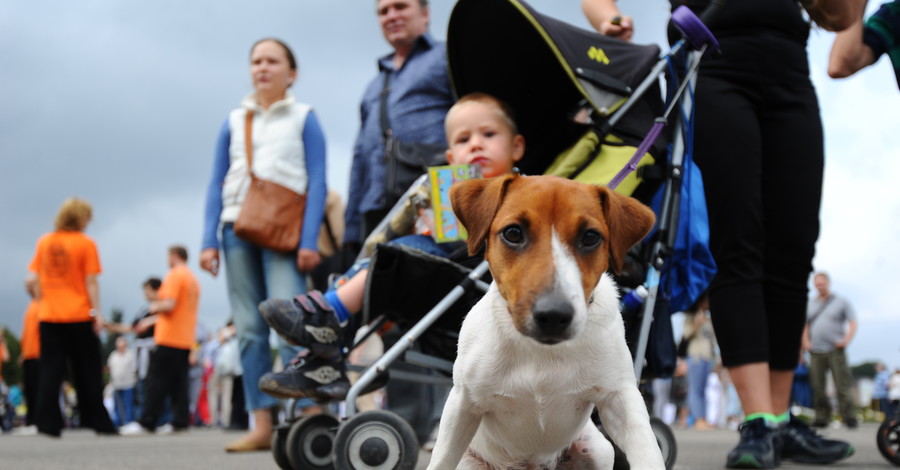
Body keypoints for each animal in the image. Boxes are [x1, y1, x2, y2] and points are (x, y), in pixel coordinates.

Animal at [428, 174, 668, 468]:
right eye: (513, 233)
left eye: (590, 237)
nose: (553, 315)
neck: (540, 350)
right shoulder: (462, 403)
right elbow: (441, 459)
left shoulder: (620, 398)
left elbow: (647, 450)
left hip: (598, 448)